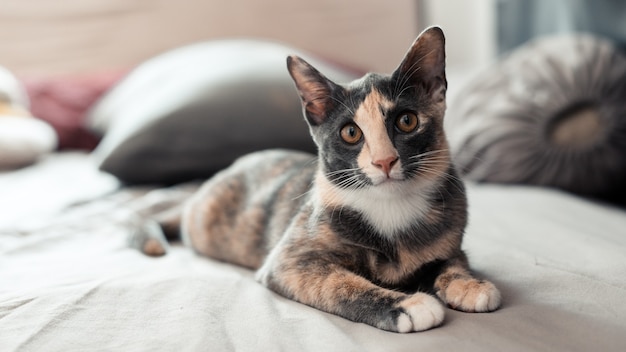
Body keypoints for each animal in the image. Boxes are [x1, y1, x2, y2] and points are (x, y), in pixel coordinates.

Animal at [134, 26, 500, 332]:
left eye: (407, 121)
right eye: (350, 132)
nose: (384, 160)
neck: (390, 208)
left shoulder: (449, 237)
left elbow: (452, 261)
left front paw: (470, 284)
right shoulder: (290, 261)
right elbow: (339, 284)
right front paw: (407, 305)